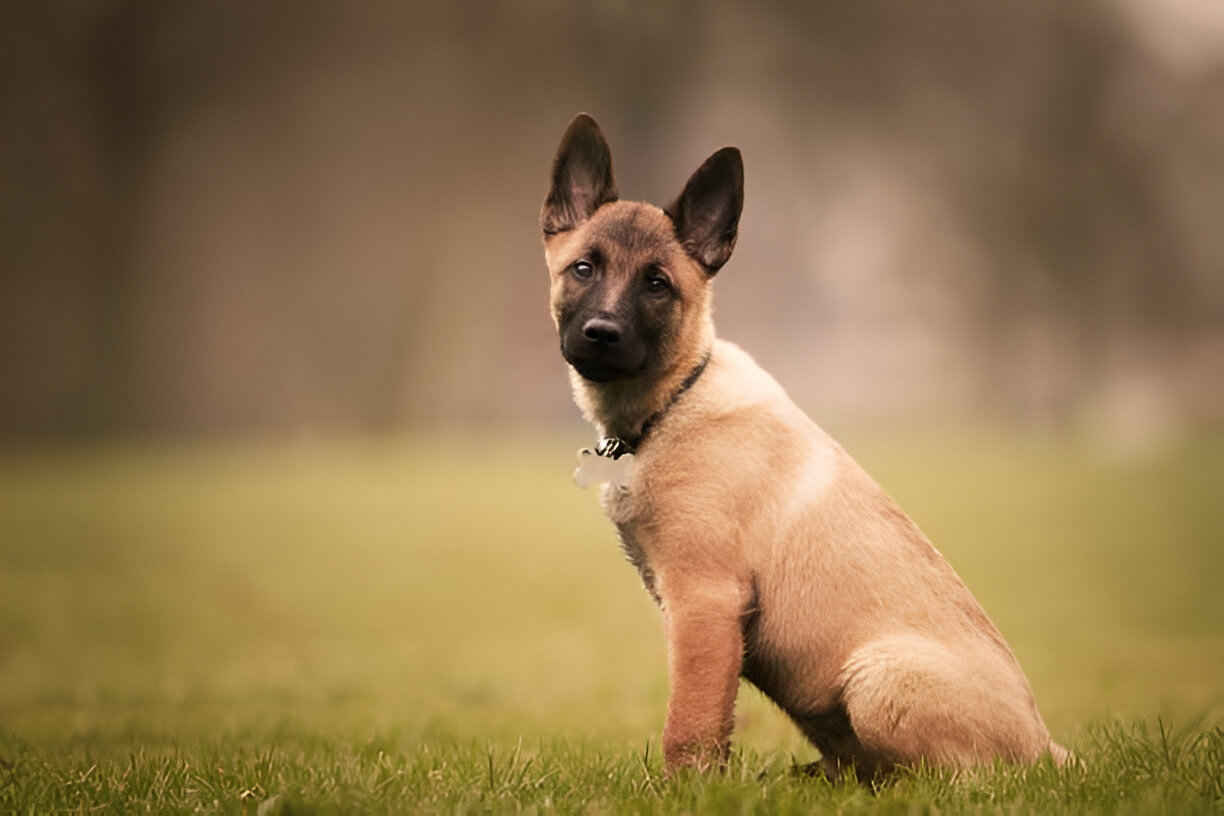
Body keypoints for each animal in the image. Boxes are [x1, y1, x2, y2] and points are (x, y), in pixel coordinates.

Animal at [541, 113, 1067, 778]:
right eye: (584, 268)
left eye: (657, 285)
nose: (601, 333)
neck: (673, 401)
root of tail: (1047, 749)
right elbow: (706, 717)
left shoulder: (705, 602)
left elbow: (690, 722)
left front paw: (687, 787)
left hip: (878, 678)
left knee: (950, 778)